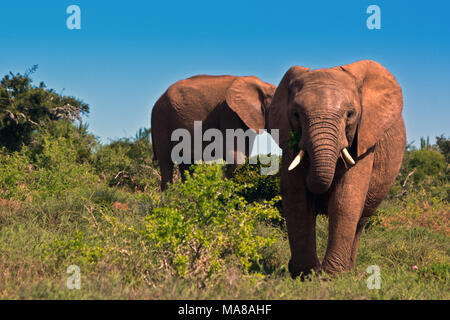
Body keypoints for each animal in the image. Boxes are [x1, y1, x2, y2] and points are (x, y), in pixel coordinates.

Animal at [268, 60, 408, 278]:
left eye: (350, 114)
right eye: (296, 114)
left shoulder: (364, 139)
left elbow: (346, 198)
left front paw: (330, 276)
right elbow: (296, 197)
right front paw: (306, 273)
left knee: (360, 222)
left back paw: (349, 270)